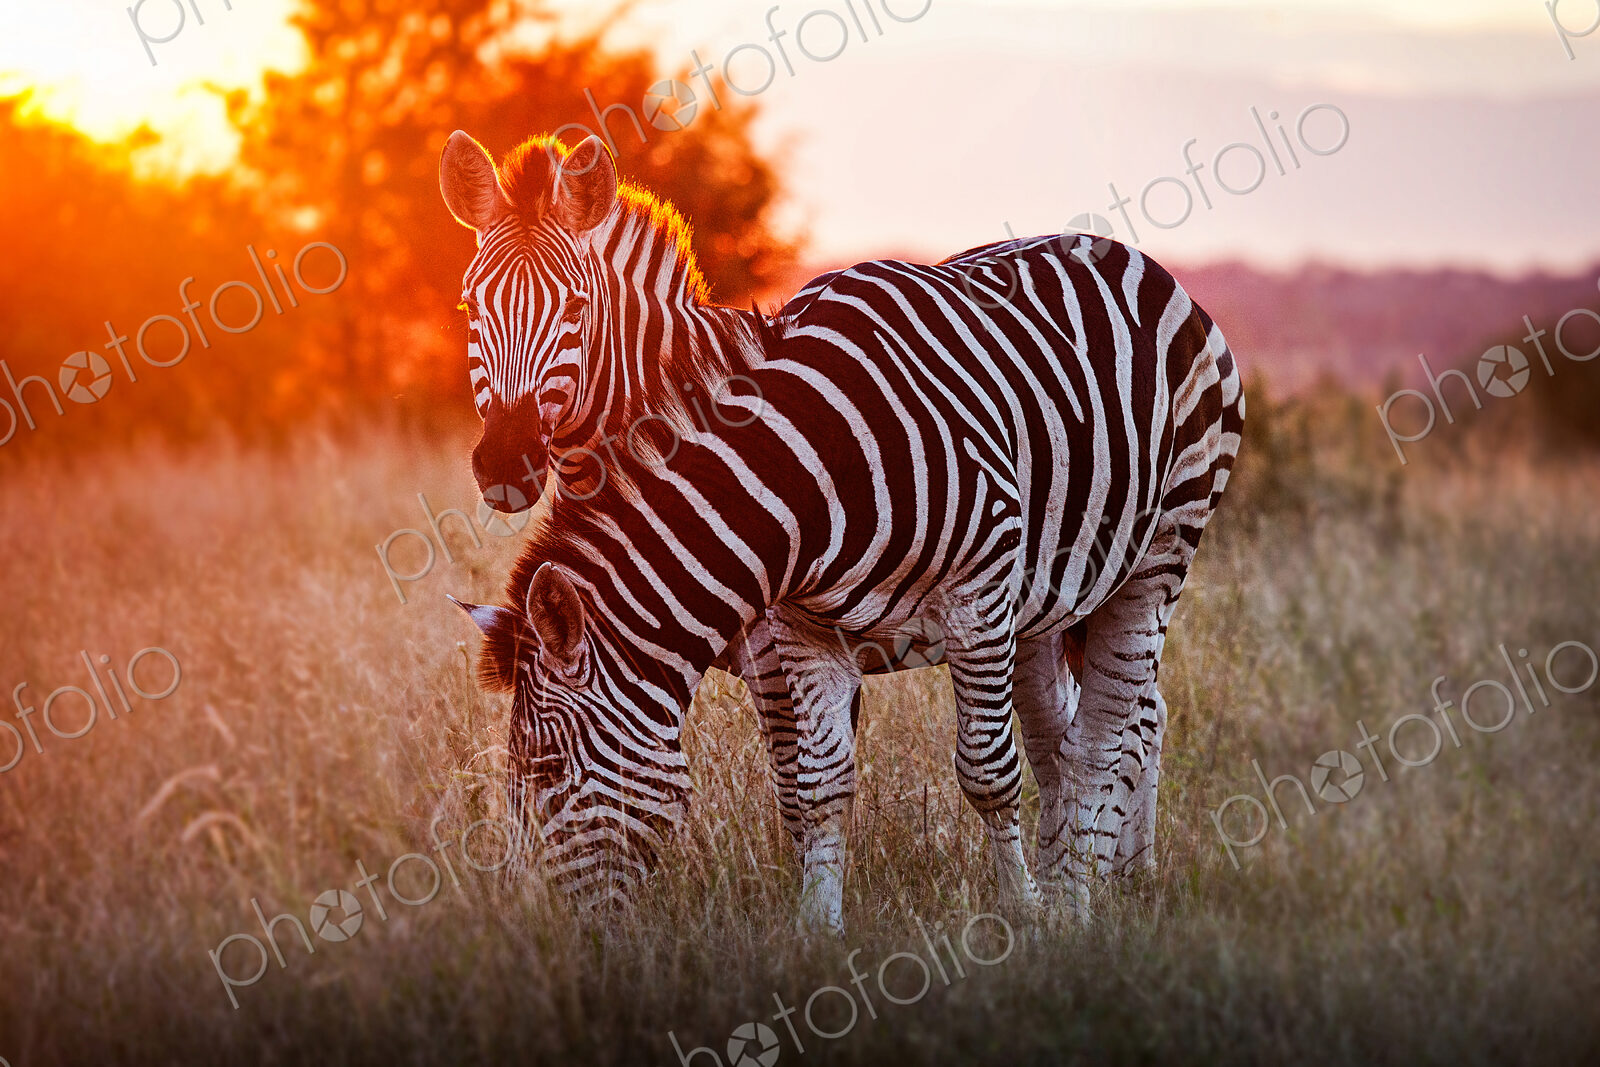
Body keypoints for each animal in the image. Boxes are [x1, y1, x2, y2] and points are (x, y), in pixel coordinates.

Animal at [440, 131, 1244, 925]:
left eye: (574, 308)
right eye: (469, 305)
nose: (506, 462)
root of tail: (1112, 247)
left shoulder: (953, 603)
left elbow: (964, 772)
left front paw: (1016, 915)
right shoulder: (802, 624)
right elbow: (819, 783)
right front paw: (818, 925)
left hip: (1154, 556)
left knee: (1115, 729)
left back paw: (1094, 892)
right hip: (1051, 599)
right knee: (1077, 732)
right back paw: (1088, 878)